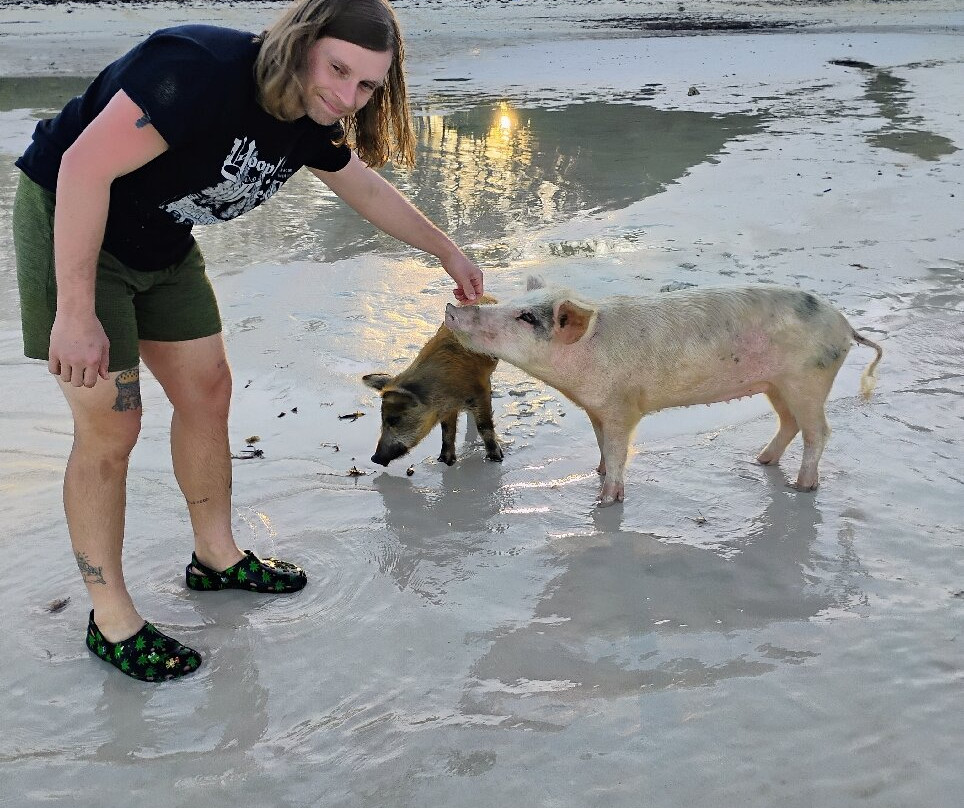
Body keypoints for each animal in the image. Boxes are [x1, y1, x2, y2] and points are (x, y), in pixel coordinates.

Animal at [363, 296, 504, 467]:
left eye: (394, 419)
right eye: (382, 419)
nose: (374, 458)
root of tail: (488, 297)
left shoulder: (480, 391)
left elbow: (484, 426)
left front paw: (496, 458)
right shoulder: (447, 409)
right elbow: (447, 431)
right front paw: (445, 461)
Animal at [445, 277, 883, 505]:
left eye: (525, 316)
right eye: (519, 303)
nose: (452, 307)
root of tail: (846, 327)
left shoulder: (622, 406)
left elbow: (619, 450)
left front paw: (606, 499)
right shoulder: (597, 408)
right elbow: (602, 445)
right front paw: (597, 473)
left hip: (807, 378)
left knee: (818, 431)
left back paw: (801, 486)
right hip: (778, 384)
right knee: (790, 423)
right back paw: (760, 462)